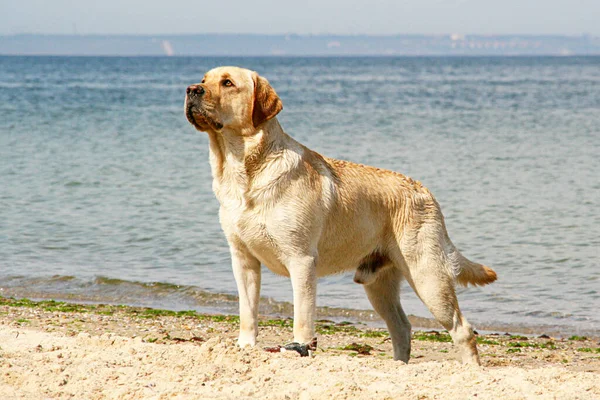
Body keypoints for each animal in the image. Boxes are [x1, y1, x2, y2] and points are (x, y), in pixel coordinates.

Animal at [184, 67, 496, 364]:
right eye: (204, 79)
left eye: (227, 83)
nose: (191, 89)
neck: (242, 169)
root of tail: (426, 192)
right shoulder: (243, 259)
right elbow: (248, 312)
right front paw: (245, 348)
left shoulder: (301, 260)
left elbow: (302, 318)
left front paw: (298, 350)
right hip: (379, 285)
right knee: (402, 327)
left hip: (427, 276)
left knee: (462, 330)